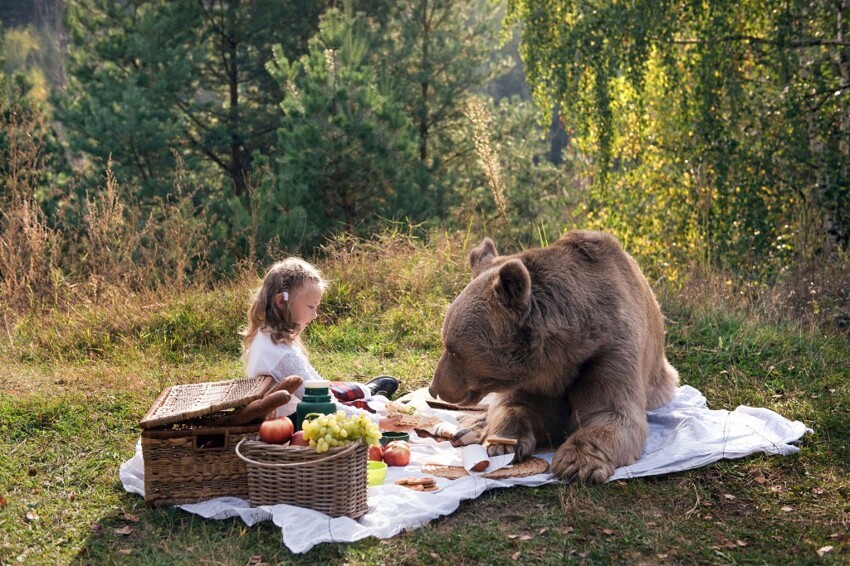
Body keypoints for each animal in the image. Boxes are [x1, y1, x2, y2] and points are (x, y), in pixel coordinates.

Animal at [428, 231, 680, 484]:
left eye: (453, 349)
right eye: (446, 341)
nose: (434, 388)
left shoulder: (608, 351)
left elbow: (611, 412)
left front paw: (576, 463)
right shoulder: (532, 380)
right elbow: (515, 406)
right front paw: (503, 443)